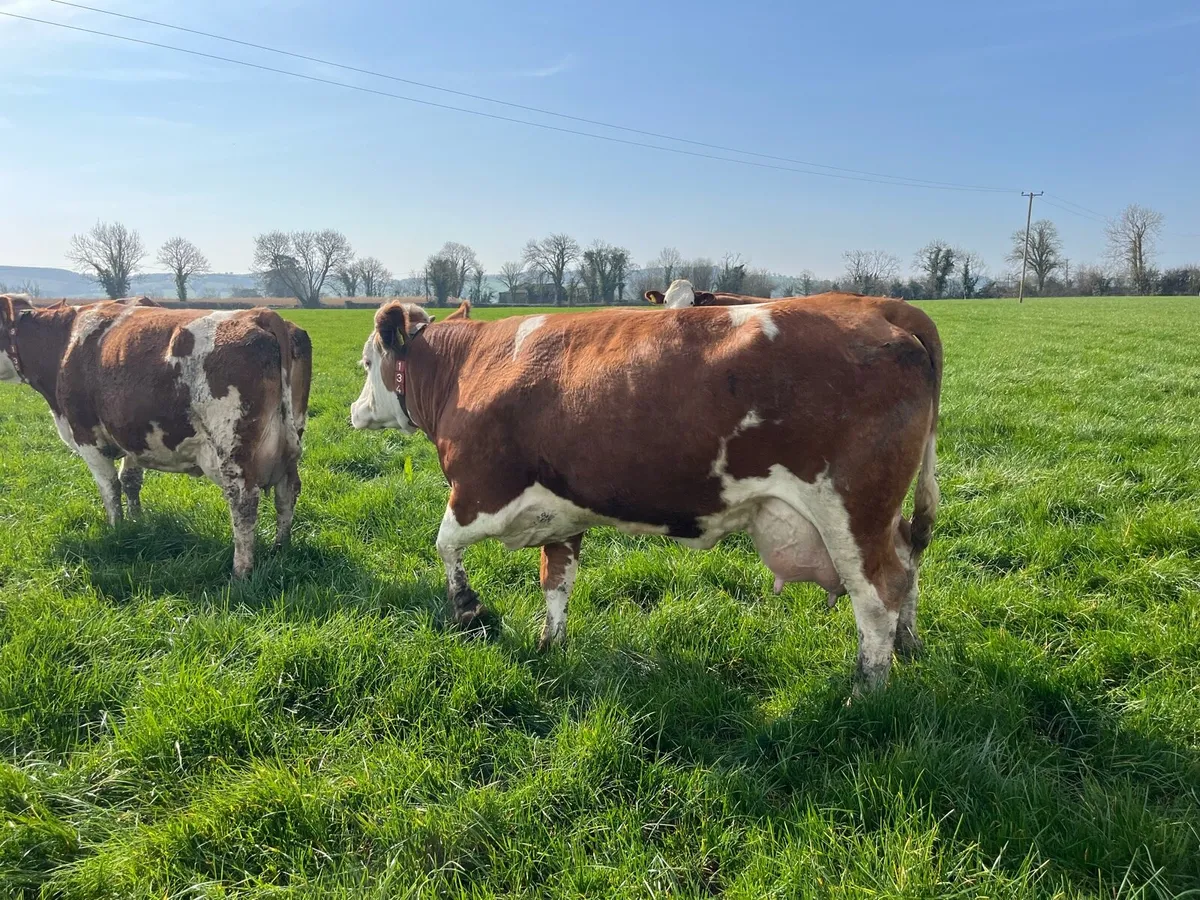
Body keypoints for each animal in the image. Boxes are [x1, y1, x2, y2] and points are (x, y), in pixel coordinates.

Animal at [0, 294, 312, 577]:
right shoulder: (134, 437)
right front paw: (137, 524)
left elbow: (110, 488)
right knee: (287, 492)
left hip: (234, 448)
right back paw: (280, 548)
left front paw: (117, 529)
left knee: (244, 502)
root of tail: (259, 314)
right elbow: (130, 480)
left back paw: (241, 571)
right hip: (289, 438)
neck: (64, 343)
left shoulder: (87, 436)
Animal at [350, 293, 942, 693]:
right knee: (909, 558)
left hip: (851, 511)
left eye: (365, 362)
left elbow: (444, 544)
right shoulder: (562, 513)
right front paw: (550, 646)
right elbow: (556, 582)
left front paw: (468, 609)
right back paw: (909, 645)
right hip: (883, 514)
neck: (468, 370)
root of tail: (881, 307)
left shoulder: (478, 491)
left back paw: (866, 690)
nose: (354, 411)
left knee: (878, 595)